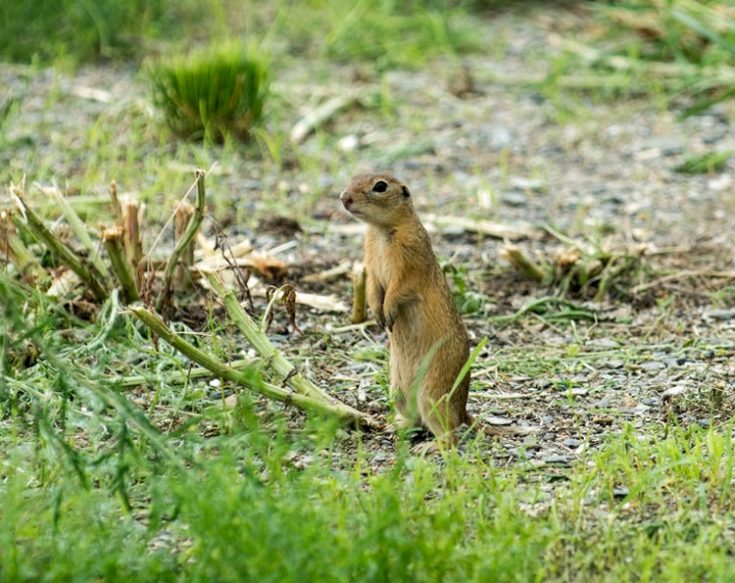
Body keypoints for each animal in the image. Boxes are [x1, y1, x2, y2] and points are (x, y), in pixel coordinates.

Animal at [342, 173, 474, 448]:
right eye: (353, 177)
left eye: (380, 186)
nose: (343, 198)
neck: (381, 230)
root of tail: (463, 410)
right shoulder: (371, 263)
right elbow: (373, 288)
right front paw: (378, 315)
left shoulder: (409, 261)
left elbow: (398, 288)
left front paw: (388, 312)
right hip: (400, 392)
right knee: (417, 421)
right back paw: (394, 426)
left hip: (431, 395)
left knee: (450, 436)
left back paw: (429, 447)